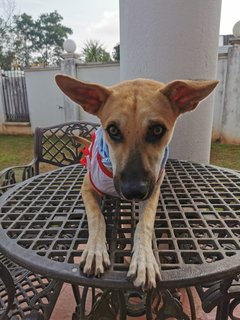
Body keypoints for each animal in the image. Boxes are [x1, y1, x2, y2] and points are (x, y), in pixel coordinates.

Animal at [55, 75, 218, 290]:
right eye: (113, 130)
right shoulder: (88, 187)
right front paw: (95, 251)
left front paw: (144, 260)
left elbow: (145, 224)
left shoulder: (153, 189)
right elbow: (97, 218)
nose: (133, 192)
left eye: (157, 130)